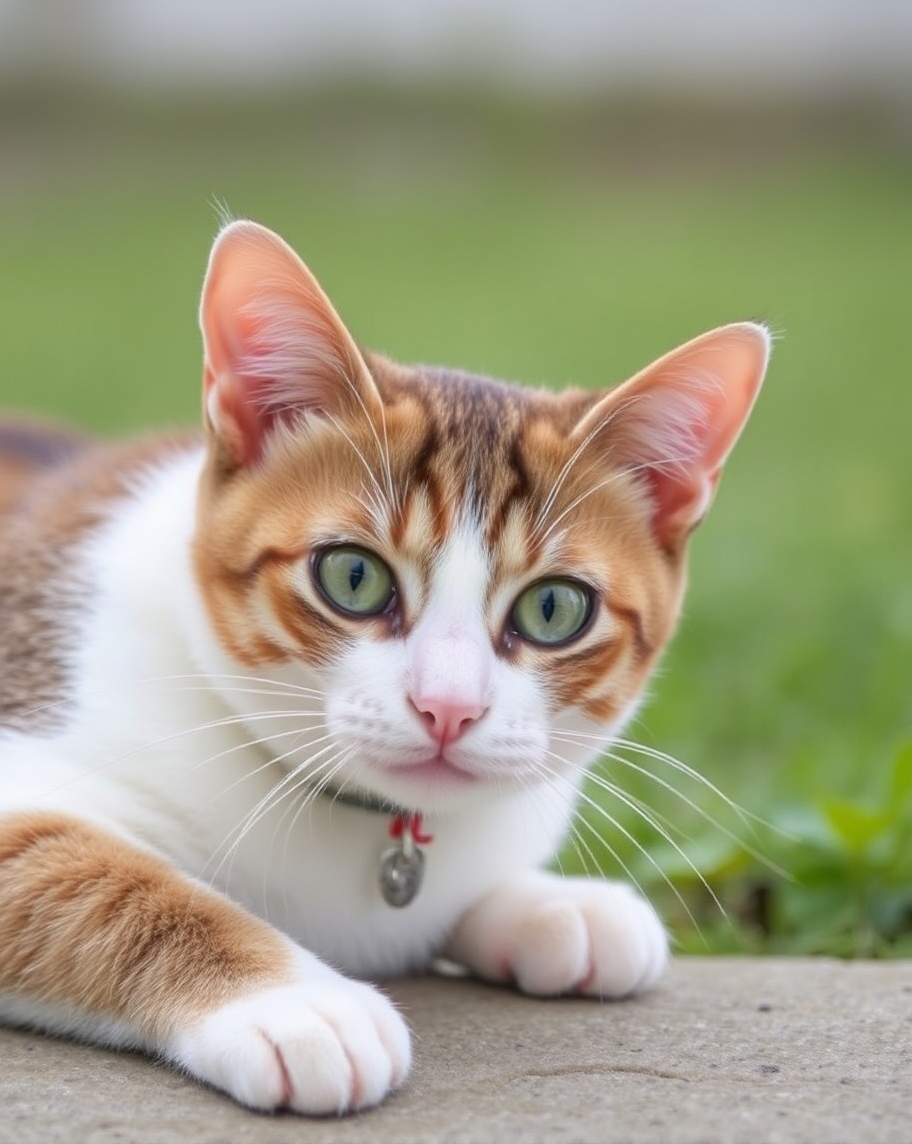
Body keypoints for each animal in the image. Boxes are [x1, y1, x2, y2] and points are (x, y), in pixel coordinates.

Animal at [0, 218, 768, 1111]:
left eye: (552, 609)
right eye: (353, 577)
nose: (449, 707)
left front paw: (555, 905)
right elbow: (111, 881)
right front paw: (295, 1002)